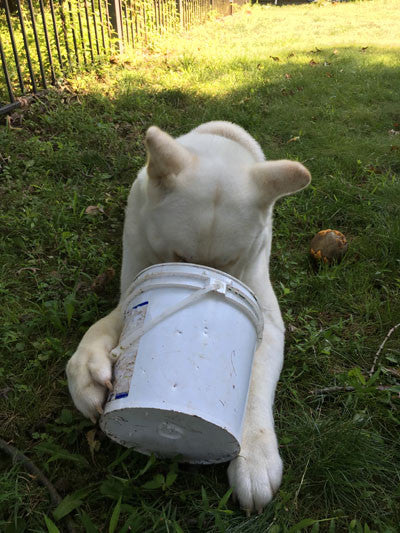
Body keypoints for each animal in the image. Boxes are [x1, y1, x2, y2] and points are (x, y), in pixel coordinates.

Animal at [65, 120, 310, 512]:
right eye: (180, 256)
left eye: (229, 262)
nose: (211, 284)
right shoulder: (137, 280)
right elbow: (105, 325)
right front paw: (87, 369)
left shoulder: (267, 320)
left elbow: (254, 385)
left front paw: (254, 456)